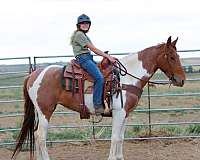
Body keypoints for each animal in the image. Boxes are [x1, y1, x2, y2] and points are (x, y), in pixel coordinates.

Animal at [11, 36, 185, 160]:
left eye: (177, 56)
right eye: (171, 57)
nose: (181, 80)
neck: (127, 78)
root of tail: (34, 74)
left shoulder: (125, 114)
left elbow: (121, 138)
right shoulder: (119, 113)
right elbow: (115, 138)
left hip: (41, 111)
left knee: (36, 135)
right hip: (45, 110)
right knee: (40, 136)